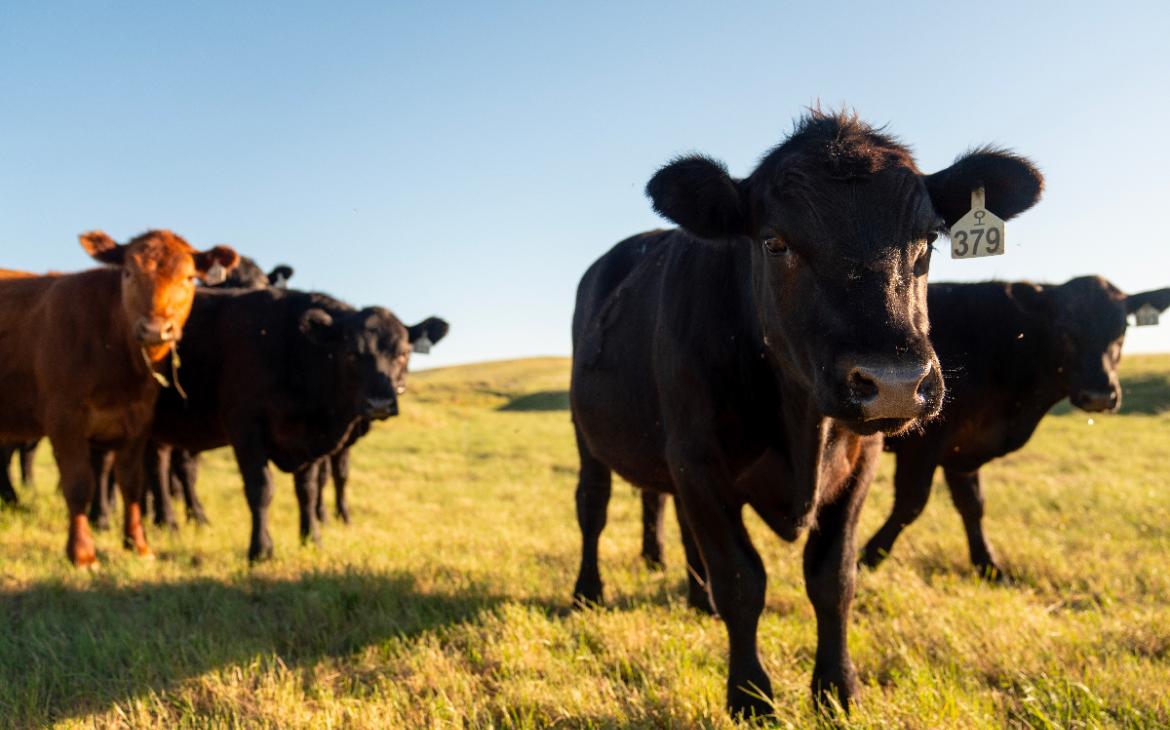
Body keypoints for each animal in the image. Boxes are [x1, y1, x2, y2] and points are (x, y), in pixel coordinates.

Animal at [0, 228, 238, 563]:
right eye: (128, 273)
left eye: (189, 277)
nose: (155, 329)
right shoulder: (64, 418)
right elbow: (78, 483)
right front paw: (82, 553)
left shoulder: (138, 422)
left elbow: (132, 483)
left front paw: (138, 544)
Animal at [148, 284, 449, 559]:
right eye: (351, 353)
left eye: (403, 353)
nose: (380, 402)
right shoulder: (245, 426)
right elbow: (260, 488)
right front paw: (261, 549)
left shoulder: (310, 440)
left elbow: (309, 490)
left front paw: (312, 538)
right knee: (161, 474)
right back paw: (170, 524)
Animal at [566, 109, 1043, 720]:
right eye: (775, 242)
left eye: (929, 238)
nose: (894, 384)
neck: (801, 424)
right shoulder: (697, 459)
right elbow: (742, 579)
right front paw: (750, 695)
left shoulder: (861, 460)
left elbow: (833, 577)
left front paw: (837, 687)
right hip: (588, 436)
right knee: (592, 507)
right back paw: (588, 592)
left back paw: (699, 601)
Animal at [851, 276, 1170, 577]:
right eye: (1065, 330)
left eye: (1122, 330)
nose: (1100, 395)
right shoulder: (923, 443)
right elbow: (911, 503)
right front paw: (866, 558)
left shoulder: (961, 449)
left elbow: (972, 505)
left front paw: (988, 566)